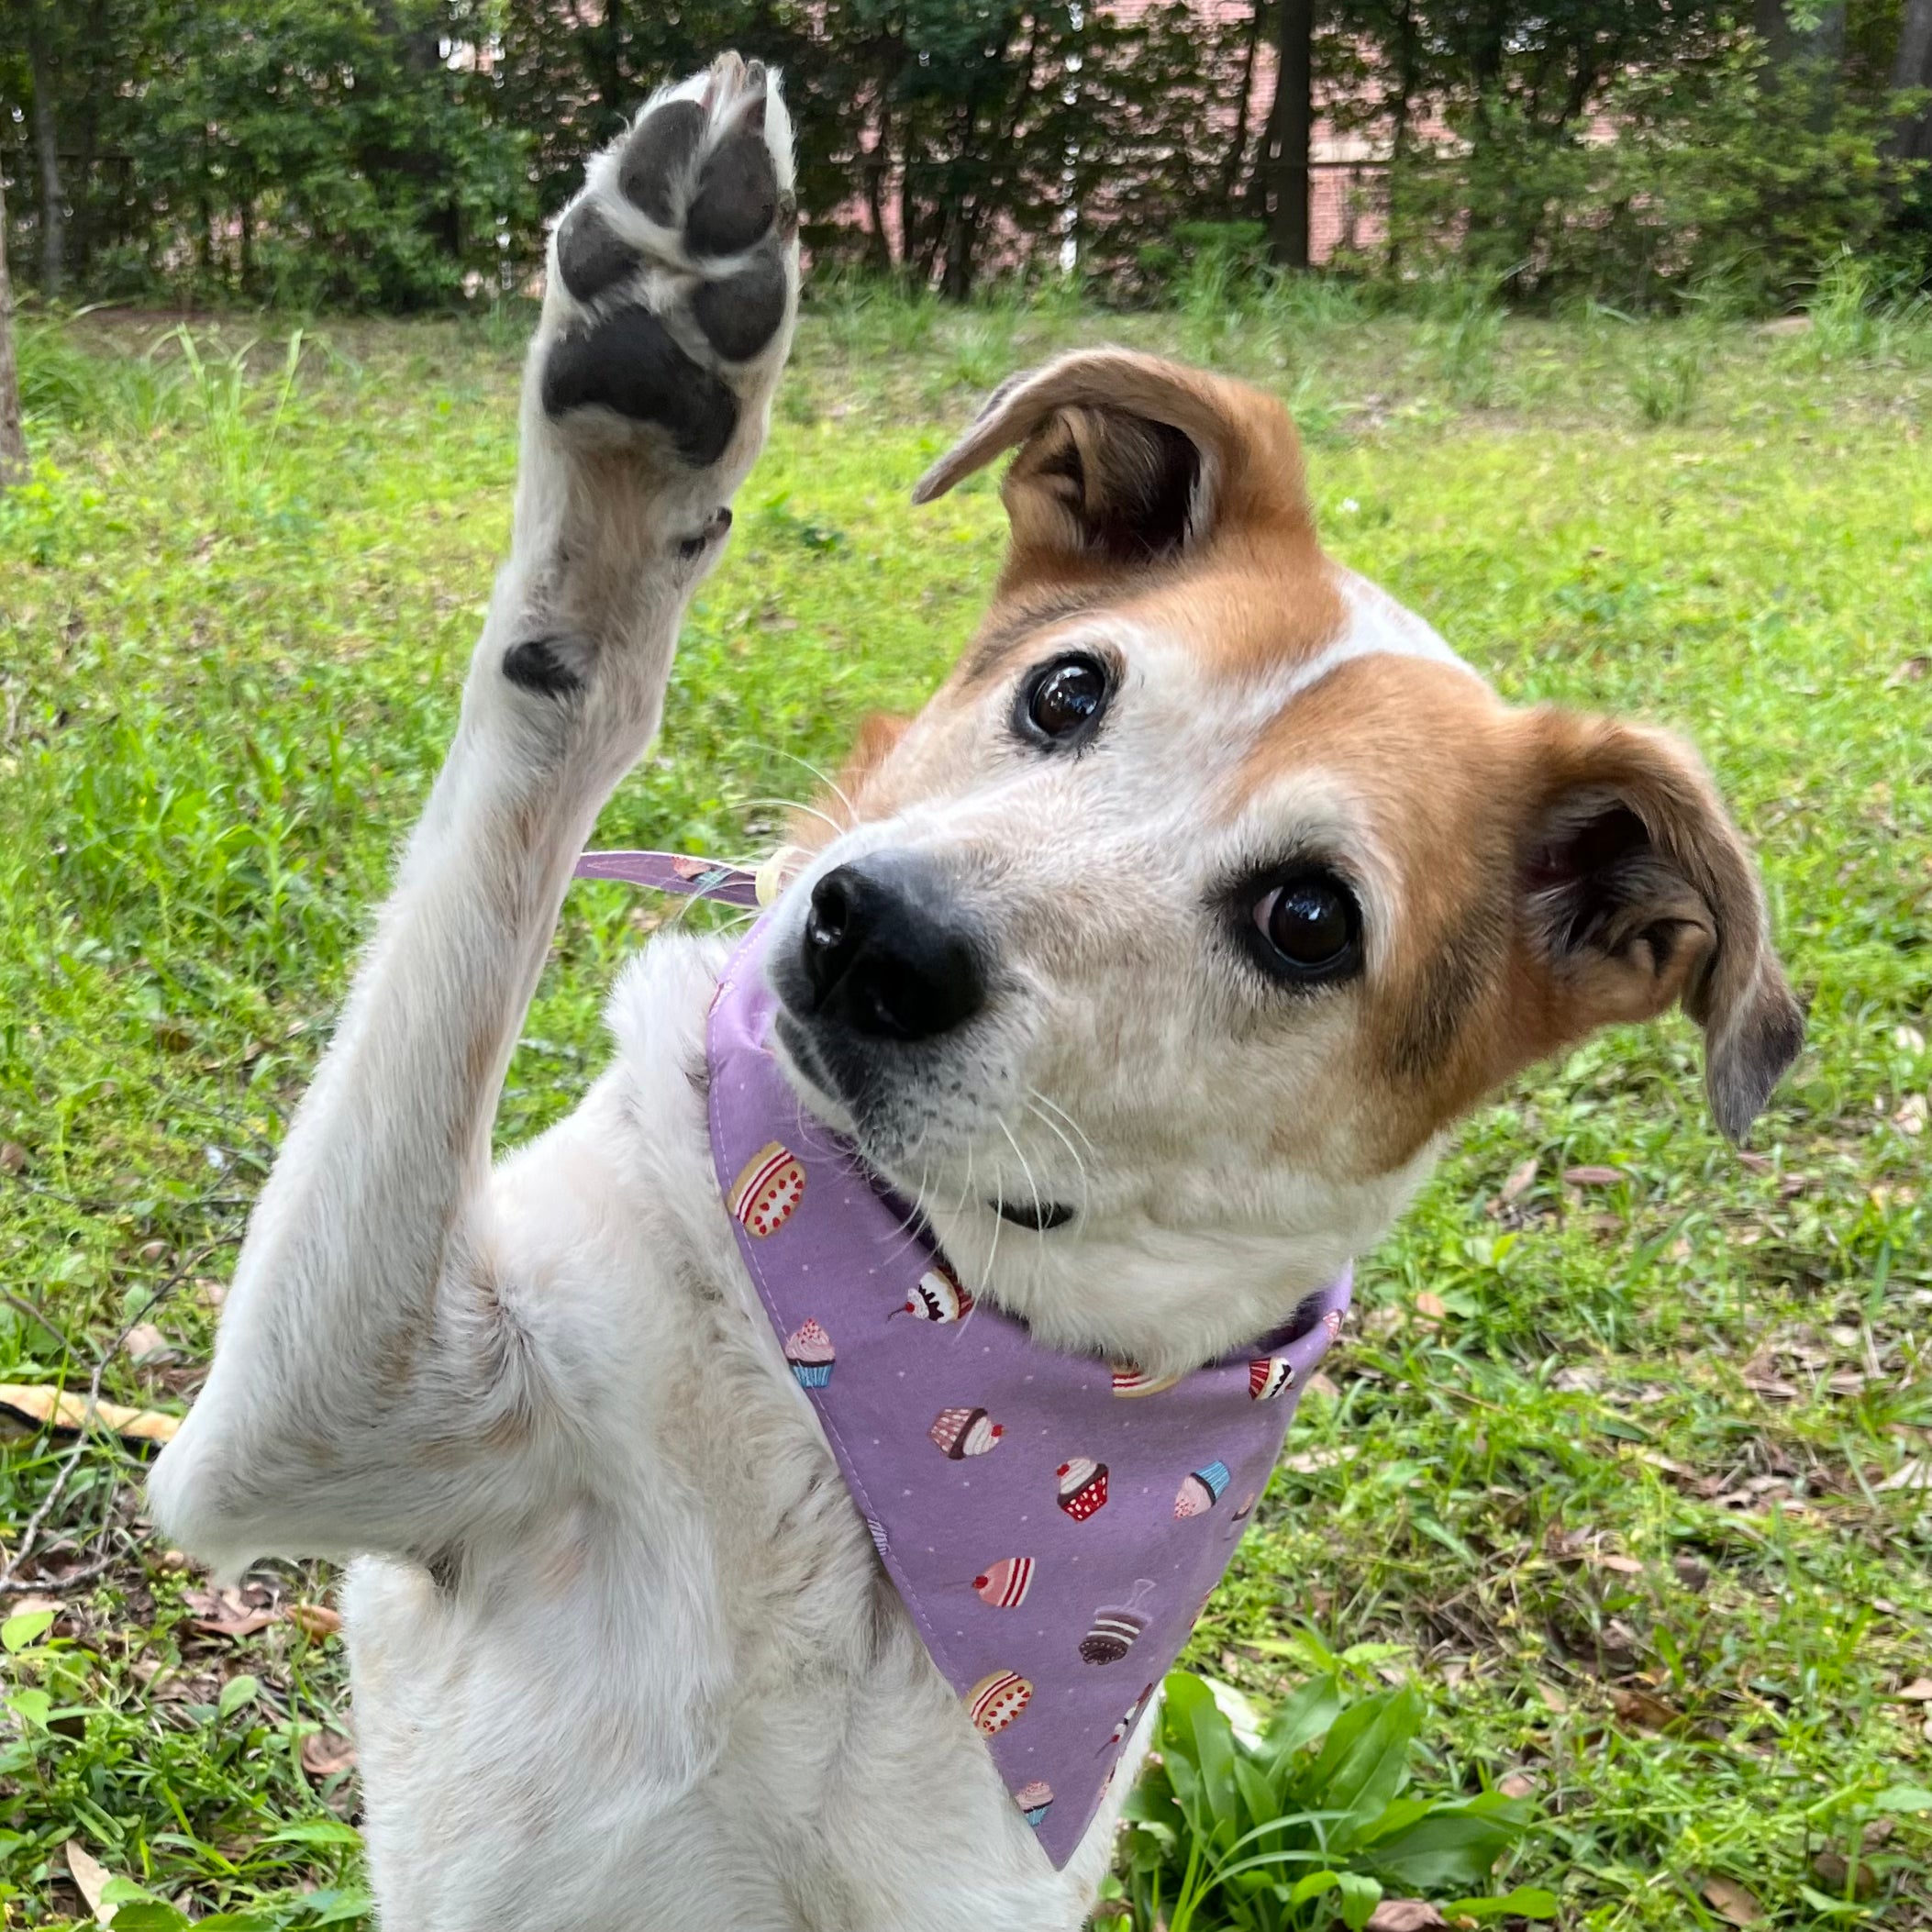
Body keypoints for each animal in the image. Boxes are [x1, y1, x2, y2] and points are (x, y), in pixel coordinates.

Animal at [142, 56, 1800, 1932]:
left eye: (1309, 917)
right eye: (1068, 690)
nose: (874, 934)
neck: (899, 1390)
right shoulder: (314, 1429)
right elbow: (554, 719)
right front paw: (651, 374)